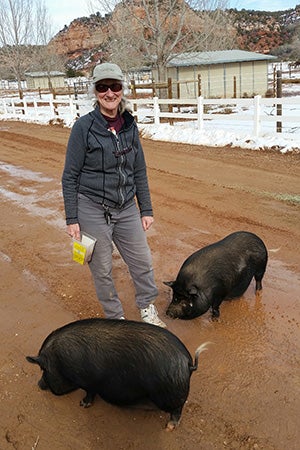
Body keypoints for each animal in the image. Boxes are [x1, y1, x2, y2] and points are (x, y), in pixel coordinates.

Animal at [26, 316, 209, 428]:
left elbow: (89, 393)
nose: (38, 384)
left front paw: (82, 404)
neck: (60, 360)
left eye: (42, 368)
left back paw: (169, 427)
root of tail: (187, 363)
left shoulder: (88, 381)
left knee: (178, 408)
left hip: (168, 396)